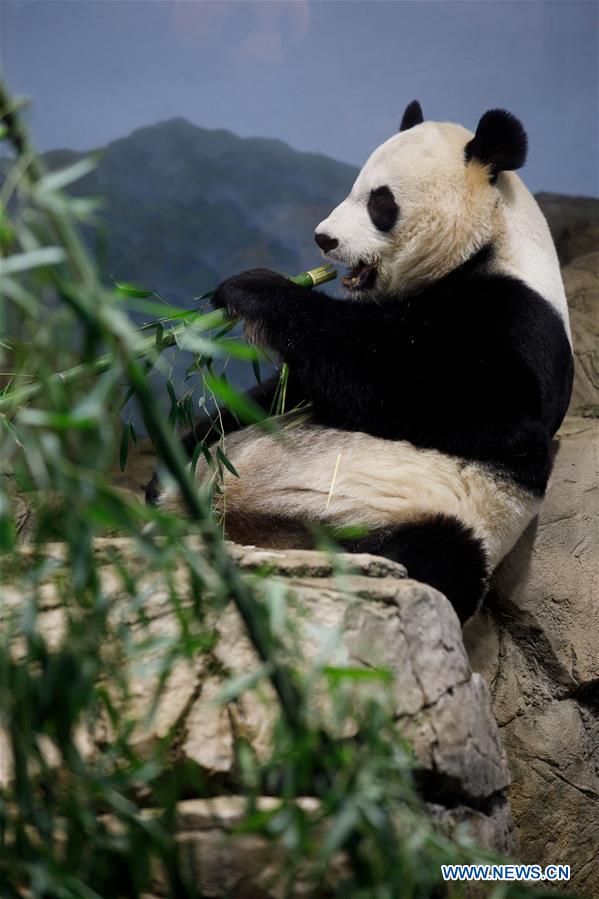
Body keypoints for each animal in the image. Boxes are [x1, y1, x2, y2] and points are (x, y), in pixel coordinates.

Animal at [154, 103, 572, 624]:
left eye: (381, 202)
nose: (324, 239)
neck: (491, 243)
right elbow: (286, 391)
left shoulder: (518, 321)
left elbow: (462, 400)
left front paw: (255, 289)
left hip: (437, 518)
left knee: (438, 558)